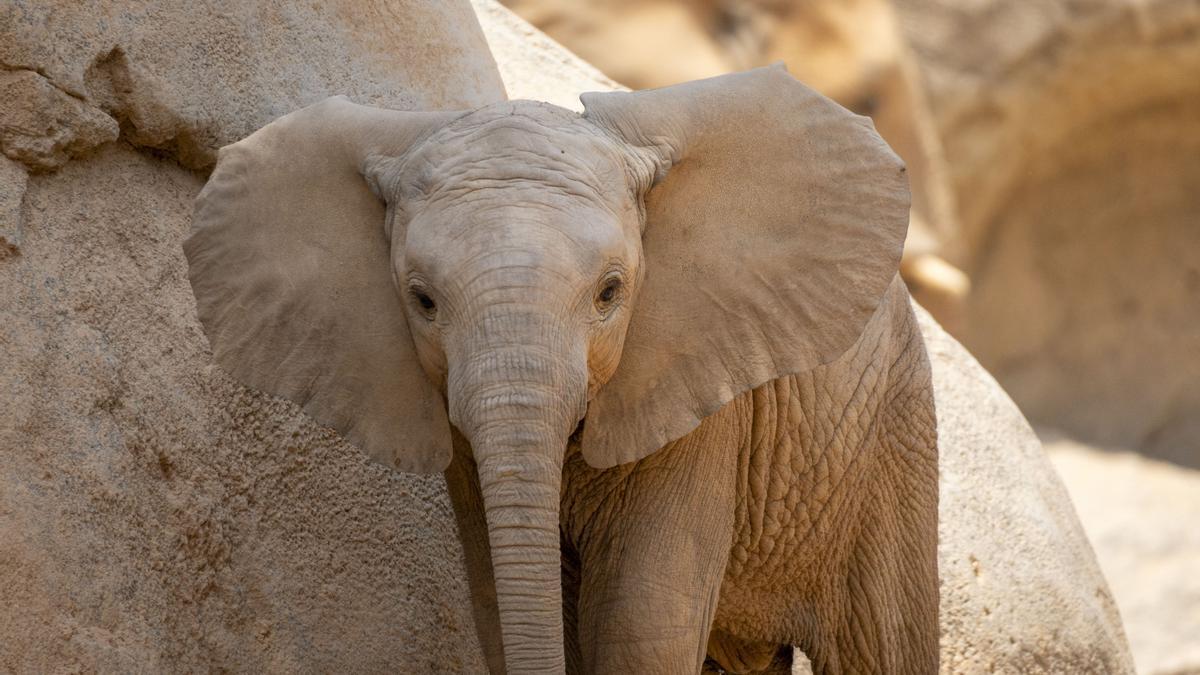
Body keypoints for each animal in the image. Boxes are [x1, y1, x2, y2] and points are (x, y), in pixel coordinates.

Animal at [184, 64, 936, 672]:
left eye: (610, 293)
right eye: (423, 301)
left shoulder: (704, 399)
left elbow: (642, 628)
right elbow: (502, 605)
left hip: (890, 437)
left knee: (882, 647)